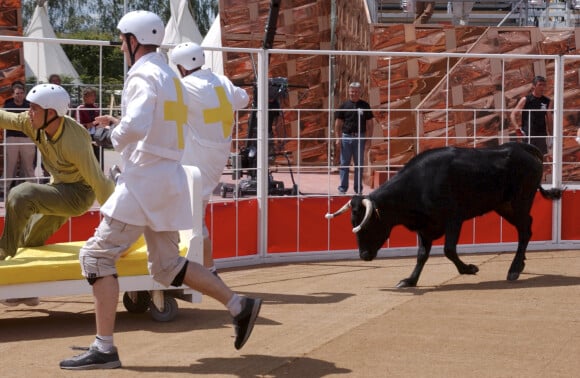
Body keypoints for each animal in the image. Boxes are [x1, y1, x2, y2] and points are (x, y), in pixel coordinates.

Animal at [326, 143, 560, 288]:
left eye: (368, 224)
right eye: (352, 221)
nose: (364, 255)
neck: (419, 184)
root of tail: (523, 147)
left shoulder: (453, 219)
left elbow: (448, 249)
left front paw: (469, 268)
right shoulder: (425, 227)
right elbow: (422, 254)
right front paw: (410, 281)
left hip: (519, 202)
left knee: (525, 231)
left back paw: (514, 269)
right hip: (504, 206)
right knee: (525, 228)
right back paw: (520, 265)